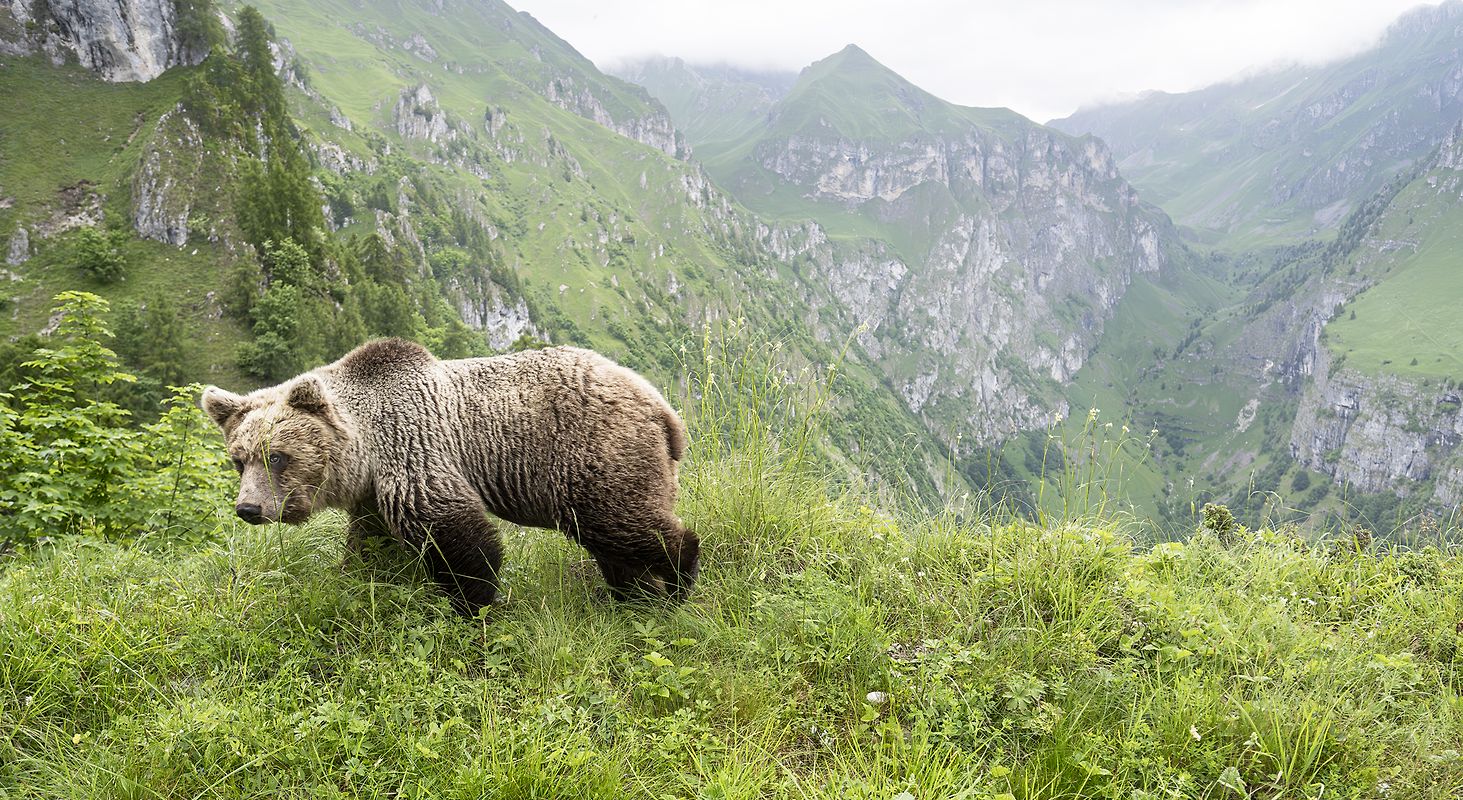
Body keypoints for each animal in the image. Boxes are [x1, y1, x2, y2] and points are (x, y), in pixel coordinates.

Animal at [200, 338, 699, 614]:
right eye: (238, 459)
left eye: (277, 456)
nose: (249, 508)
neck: (366, 449)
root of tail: (661, 405)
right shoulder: (372, 492)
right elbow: (371, 544)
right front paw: (360, 577)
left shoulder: (413, 446)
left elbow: (451, 531)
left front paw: (470, 600)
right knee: (612, 537)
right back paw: (630, 592)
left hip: (592, 452)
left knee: (621, 521)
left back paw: (678, 579)